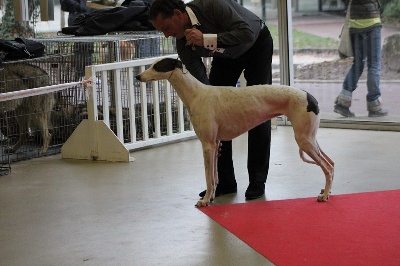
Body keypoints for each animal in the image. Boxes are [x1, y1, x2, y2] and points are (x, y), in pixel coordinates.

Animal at [138, 57, 334, 208]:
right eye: (152, 64)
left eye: (157, 66)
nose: (137, 76)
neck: (196, 94)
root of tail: (310, 96)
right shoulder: (216, 144)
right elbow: (214, 177)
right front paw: (211, 196)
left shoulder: (208, 145)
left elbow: (208, 176)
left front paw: (205, 201)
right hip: (310, 138)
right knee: (331, 164)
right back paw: (327, 190)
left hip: (304, 140)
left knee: (327, 167)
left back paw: (324, 196)